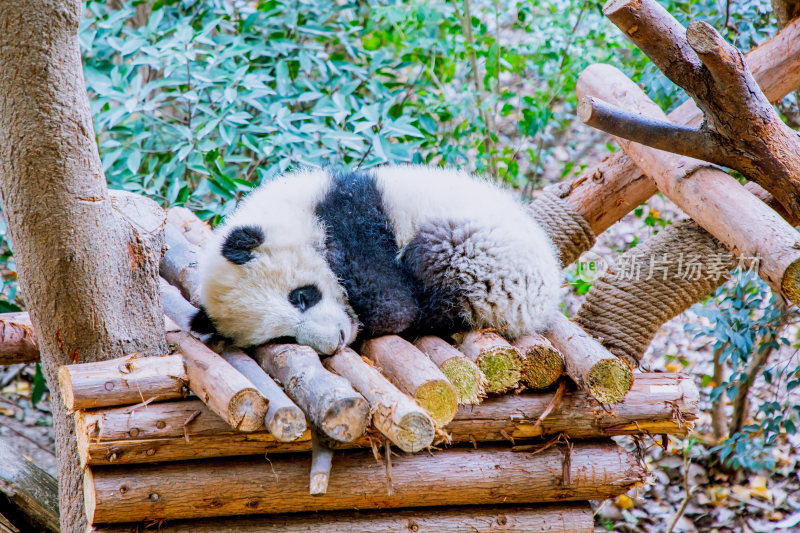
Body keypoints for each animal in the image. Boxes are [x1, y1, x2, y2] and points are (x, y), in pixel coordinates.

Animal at [191, 165, 564, 358]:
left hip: (486, 260)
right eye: (282, 338)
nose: (337, 340)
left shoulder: (354, 216)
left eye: (301, 297)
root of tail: (541, 309)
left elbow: (392, 307)